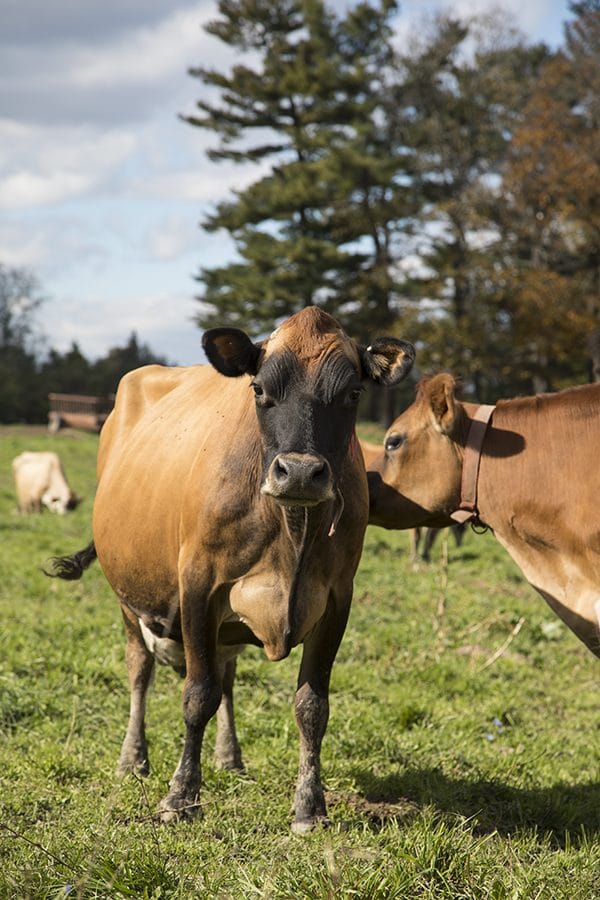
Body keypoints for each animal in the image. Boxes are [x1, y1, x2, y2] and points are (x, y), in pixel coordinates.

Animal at [47, 308, 414, 828]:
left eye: (353, 394)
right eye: (258, 389)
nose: (299, 473)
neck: (291, 526)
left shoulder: (337, 599)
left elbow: (311, 706)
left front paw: (310, 806)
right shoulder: (198, 586)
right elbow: (197, 695)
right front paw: (180, 796)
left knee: (227, 678)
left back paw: (229, 756)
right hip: (127, 595)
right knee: (141, 670)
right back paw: (133, 759)